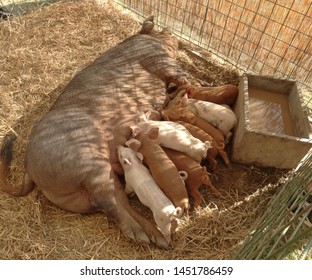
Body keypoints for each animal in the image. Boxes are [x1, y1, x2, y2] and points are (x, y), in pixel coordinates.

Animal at [0, 16, 195, 248]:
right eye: (165, 32)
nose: (170, 31)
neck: (143, 38)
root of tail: (29, 167)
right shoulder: (158, 58)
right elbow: (181, 75)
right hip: (88, 160)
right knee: (107, 202)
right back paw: (144, 237)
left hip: (99, 176)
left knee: (119, 201)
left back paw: (156, 237)